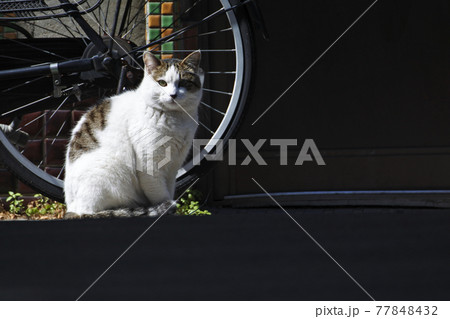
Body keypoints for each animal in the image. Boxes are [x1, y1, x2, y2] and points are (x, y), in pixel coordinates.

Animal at [63, 50, 204, 220]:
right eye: (162, 83)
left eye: (183, 83)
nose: (173, 95)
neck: (175, 118)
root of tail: (72, 208)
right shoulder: (150, 163)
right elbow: (161, 195)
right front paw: (166, 209)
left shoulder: (173, 166)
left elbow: (169, 190)